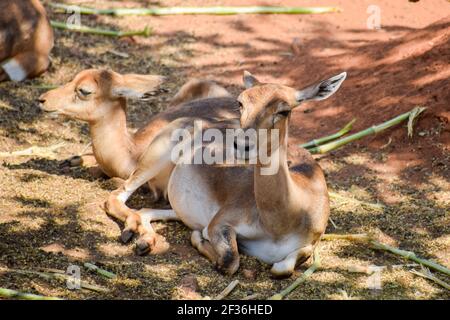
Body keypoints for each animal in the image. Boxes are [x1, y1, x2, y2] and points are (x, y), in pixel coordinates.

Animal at [103, 71, 346, 276]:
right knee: (115, 197)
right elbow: (229, 261)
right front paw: (200, 238)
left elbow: (282, 267)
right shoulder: (221, 222)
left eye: (284, 110)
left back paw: (145, 242)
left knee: (145, 211)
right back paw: (132, 236)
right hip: (155, 157)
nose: (242, 144)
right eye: (241, 102)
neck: (283, 220)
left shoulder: (308, 243)